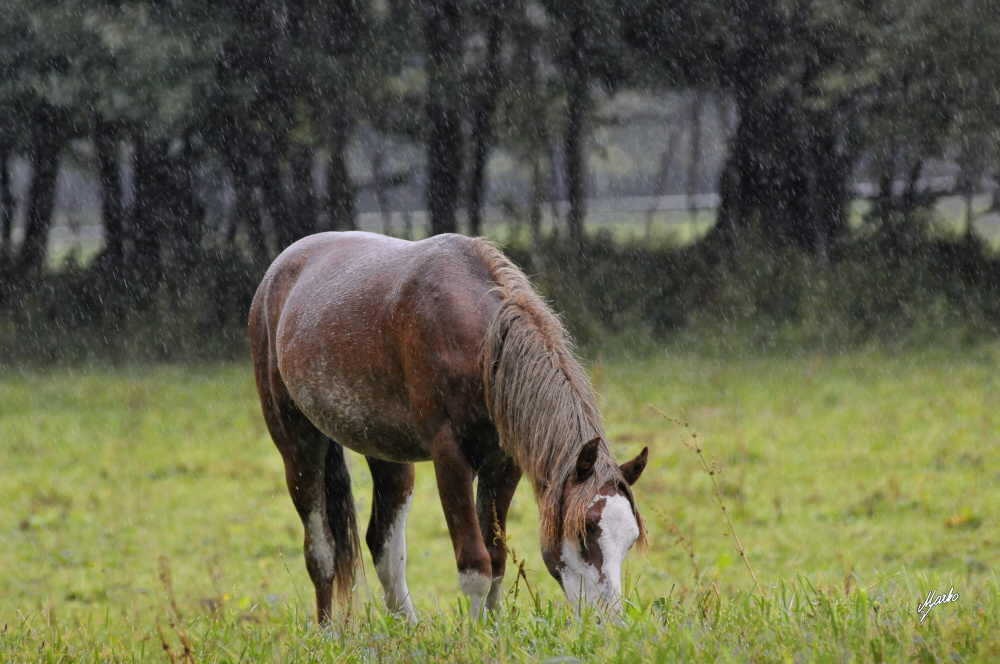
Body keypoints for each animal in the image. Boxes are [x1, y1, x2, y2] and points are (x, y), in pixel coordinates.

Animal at [250, 230, 648, 624]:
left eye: (629, 541)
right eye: (584, 533)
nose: (609, 623)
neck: (480, 348)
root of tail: (277, 273)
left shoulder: (504, 465)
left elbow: (496, 559)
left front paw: (493, 630)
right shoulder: (450, 459)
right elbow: (475, 566)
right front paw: (475, 636)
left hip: (388, 455)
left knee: (384, 549)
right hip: (299, 446)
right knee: (321, 553)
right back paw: (329, 631)